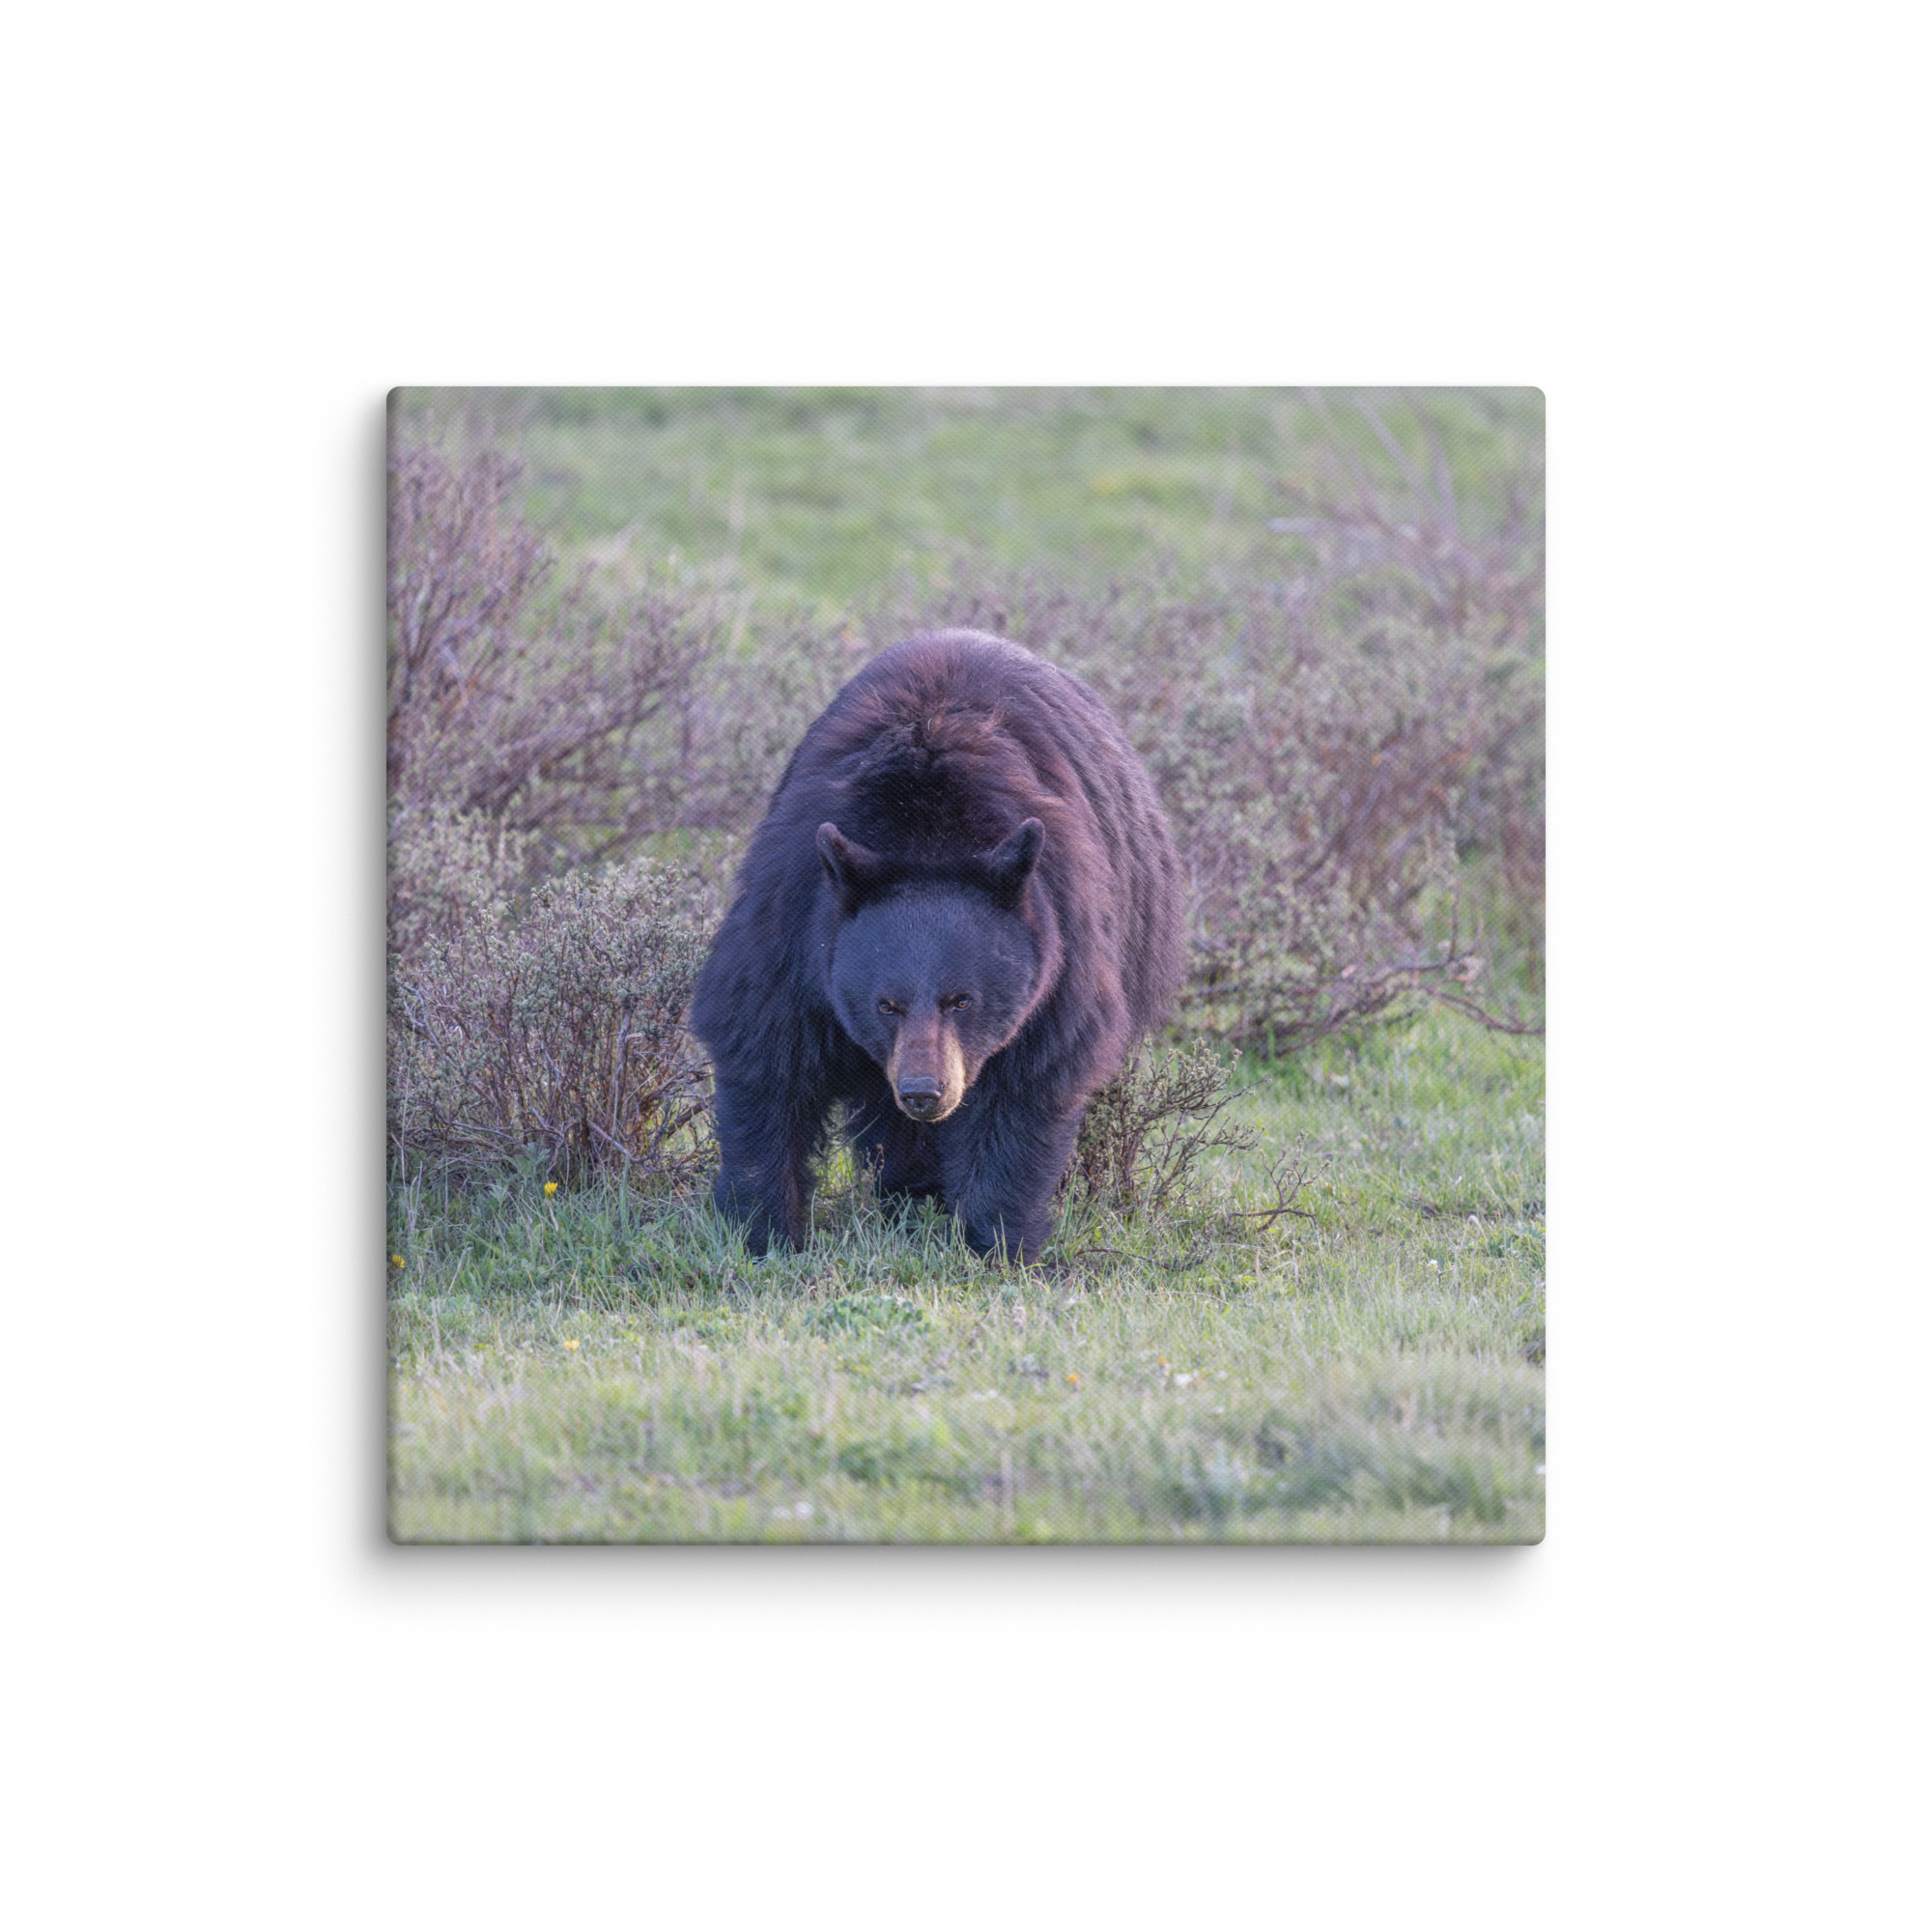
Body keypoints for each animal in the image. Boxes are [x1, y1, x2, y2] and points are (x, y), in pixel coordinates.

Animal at [689, 629, 1186, 1264]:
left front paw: (997, 1242)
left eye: (963, 1000)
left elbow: (1026, 1086)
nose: (925, 1093)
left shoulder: (1061, 944)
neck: (926, 832)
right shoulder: (795, 921)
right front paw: (763, 1231)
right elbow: (765, 1054)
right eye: (885, 1004)